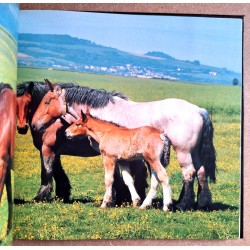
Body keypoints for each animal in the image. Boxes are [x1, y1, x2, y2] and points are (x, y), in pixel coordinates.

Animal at [15, 81, 147, 204]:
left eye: (28, 103)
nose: (22, 128)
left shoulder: (47, 149)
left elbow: (46, 172)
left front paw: (40, 197)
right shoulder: (54, 153)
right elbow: (58, 172)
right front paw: (62, 195)